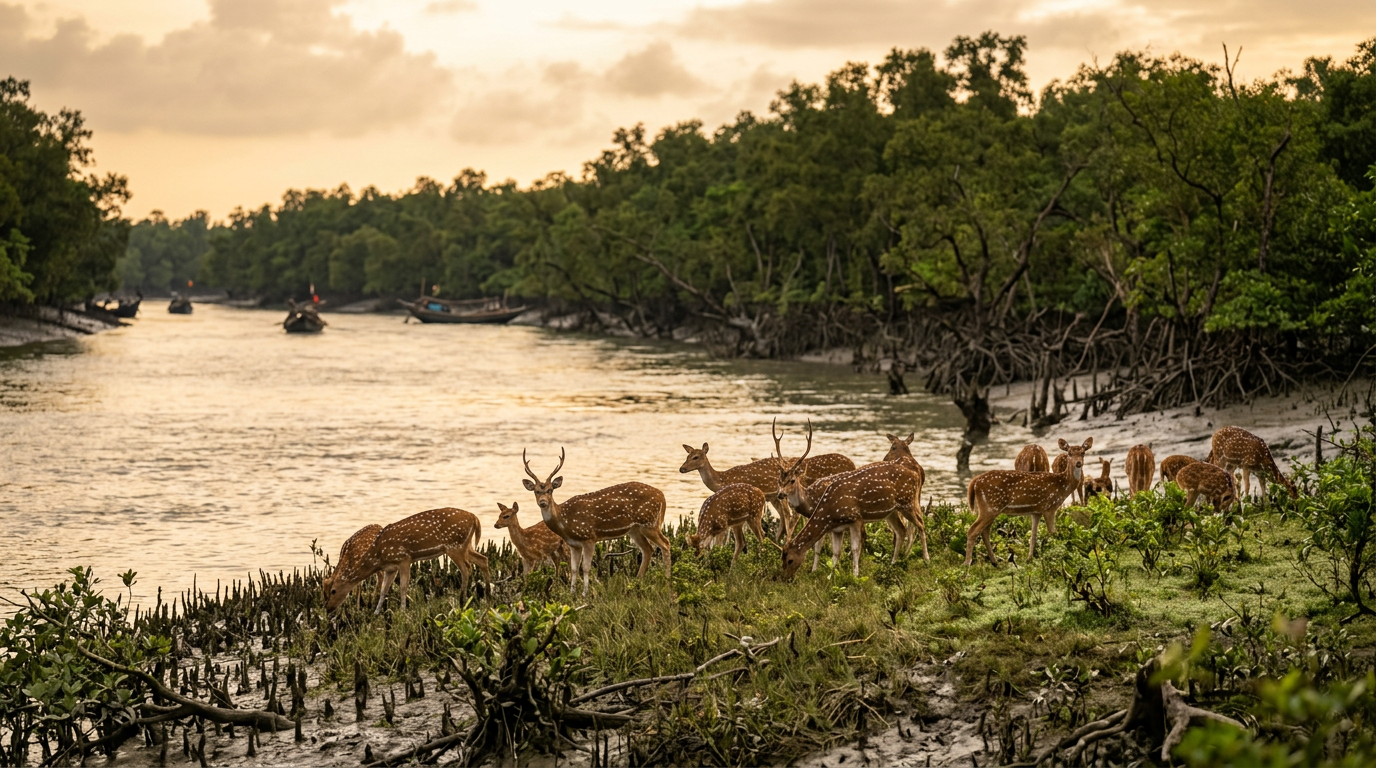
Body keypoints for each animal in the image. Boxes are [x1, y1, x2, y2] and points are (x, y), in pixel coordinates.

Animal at [323, 508, 489, 613]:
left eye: (333, 591)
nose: (328, 608)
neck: (378, 556)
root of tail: (475, 519)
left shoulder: (404, 558)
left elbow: (403, 587)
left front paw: (403, 611)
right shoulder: (390, 568)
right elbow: (384, 590)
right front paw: (376, 612)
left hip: (454, 545)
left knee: (467, 568)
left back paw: (462, 600)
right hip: (465, 546)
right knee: (483, 559)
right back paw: (488, 594)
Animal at [524, 448, 671, 595]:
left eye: (550, 490)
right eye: (536, 491)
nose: (543, 502)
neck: (564, 522)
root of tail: (662, 496)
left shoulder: (589, 537)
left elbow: (586, 567)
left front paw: (585, 593)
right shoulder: (573, 544)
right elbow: (574, 569)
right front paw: (572, 593)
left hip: (649, 523)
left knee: (665, 543)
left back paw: (667, 580)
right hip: (635, 529)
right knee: (648, 549)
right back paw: (637, 581)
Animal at [965, 437, 1092, 566]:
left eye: (1083, 453)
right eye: (1069, 453)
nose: (1078, 463)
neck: (1062, 485)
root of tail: (974, 482)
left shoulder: (1036, 512)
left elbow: (1033, 535)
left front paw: (1029, 559)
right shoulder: (1049, 507)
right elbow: (1053, 533)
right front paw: (1057, 555)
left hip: (991, 509)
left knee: (984, 531)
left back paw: (995, 562)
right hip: (990, 507)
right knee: (972, 530)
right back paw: (967, 564)